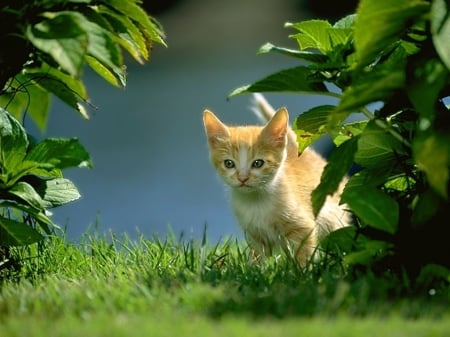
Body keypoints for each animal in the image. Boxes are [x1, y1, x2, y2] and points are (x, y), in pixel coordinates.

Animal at [202, 94, 350, 266]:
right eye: (229, 163)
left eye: (258, 163)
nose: (243, 178)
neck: (256, 201)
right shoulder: (255, 235)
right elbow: (258, 257)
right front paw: (256, 269)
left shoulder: (303, 227)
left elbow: (304, 253)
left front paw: (303, 271)